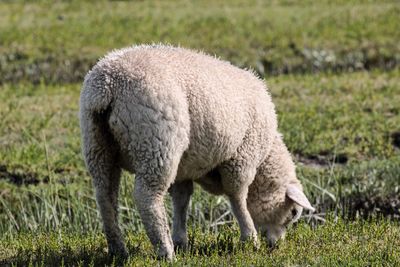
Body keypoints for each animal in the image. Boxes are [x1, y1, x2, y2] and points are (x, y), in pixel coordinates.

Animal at [79, 44, 316, 262]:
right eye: (294, 213)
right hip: (157, 144)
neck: (264, 160)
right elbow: (238, 198)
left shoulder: (184, 168)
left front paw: (181, 240)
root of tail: (108, 84)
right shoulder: (241, 159)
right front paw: (250, 239)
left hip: (98, 145)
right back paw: (165, 251)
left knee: (105, 196)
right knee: (147, 197)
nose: (276, 246)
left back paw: (118, 249)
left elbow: (182, 200)